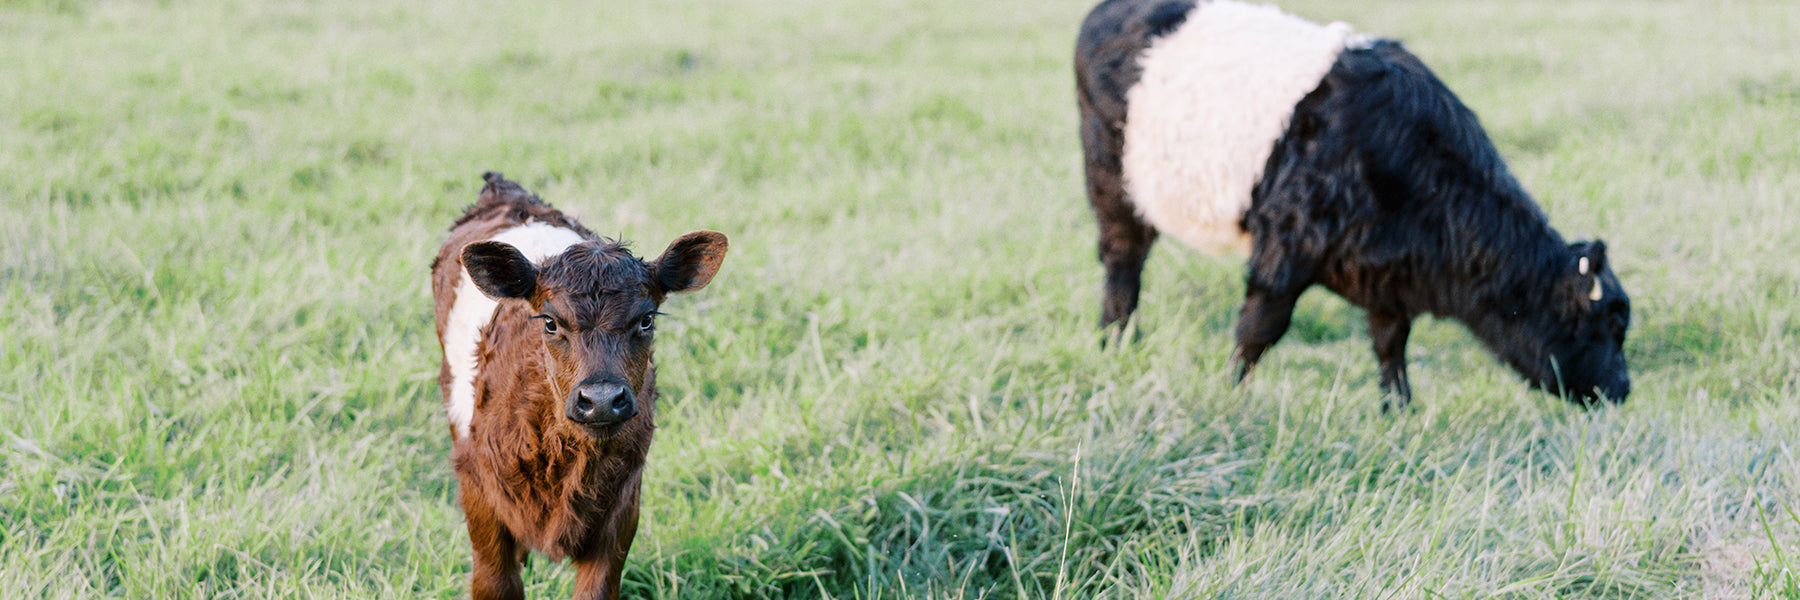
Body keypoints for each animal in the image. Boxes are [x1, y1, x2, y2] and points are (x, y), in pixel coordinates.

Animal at [430, 172, 728, 600]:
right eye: (550, 322)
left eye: (646, 319)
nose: (601, 400)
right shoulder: (480, 498)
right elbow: (495, 582)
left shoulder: (622, 507)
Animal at [1074, 0, 1631, 408]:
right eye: (1606, 325)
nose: (1624, 389)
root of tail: (1106, 11)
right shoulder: (1285, 247)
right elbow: (1259, 330)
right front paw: (1231, 392)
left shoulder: (1389, 279)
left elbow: (1391, 344)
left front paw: (1400, 409)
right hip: (1114, 184)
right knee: (1124, 264)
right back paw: (1115, 342)